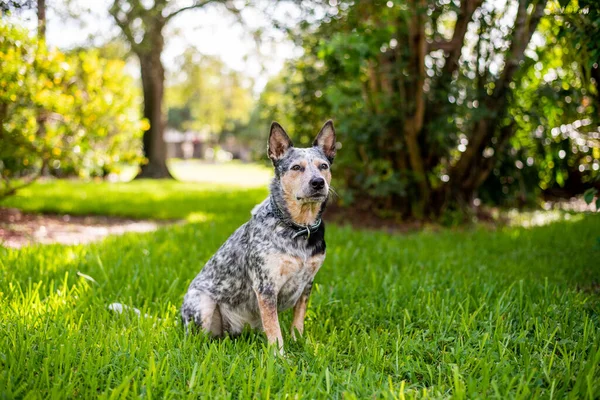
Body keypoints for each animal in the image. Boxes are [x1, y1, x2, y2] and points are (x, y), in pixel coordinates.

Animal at [180, 120, 336, 352]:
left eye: (323, 166)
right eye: (296, 167)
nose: (318, 182)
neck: (299, 227)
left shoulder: (307, 283)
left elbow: (298, 320)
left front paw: (300, 342)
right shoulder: (266, 286)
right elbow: (274, 329)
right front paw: (279, 355)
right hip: (202, 303)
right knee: (197, 337)